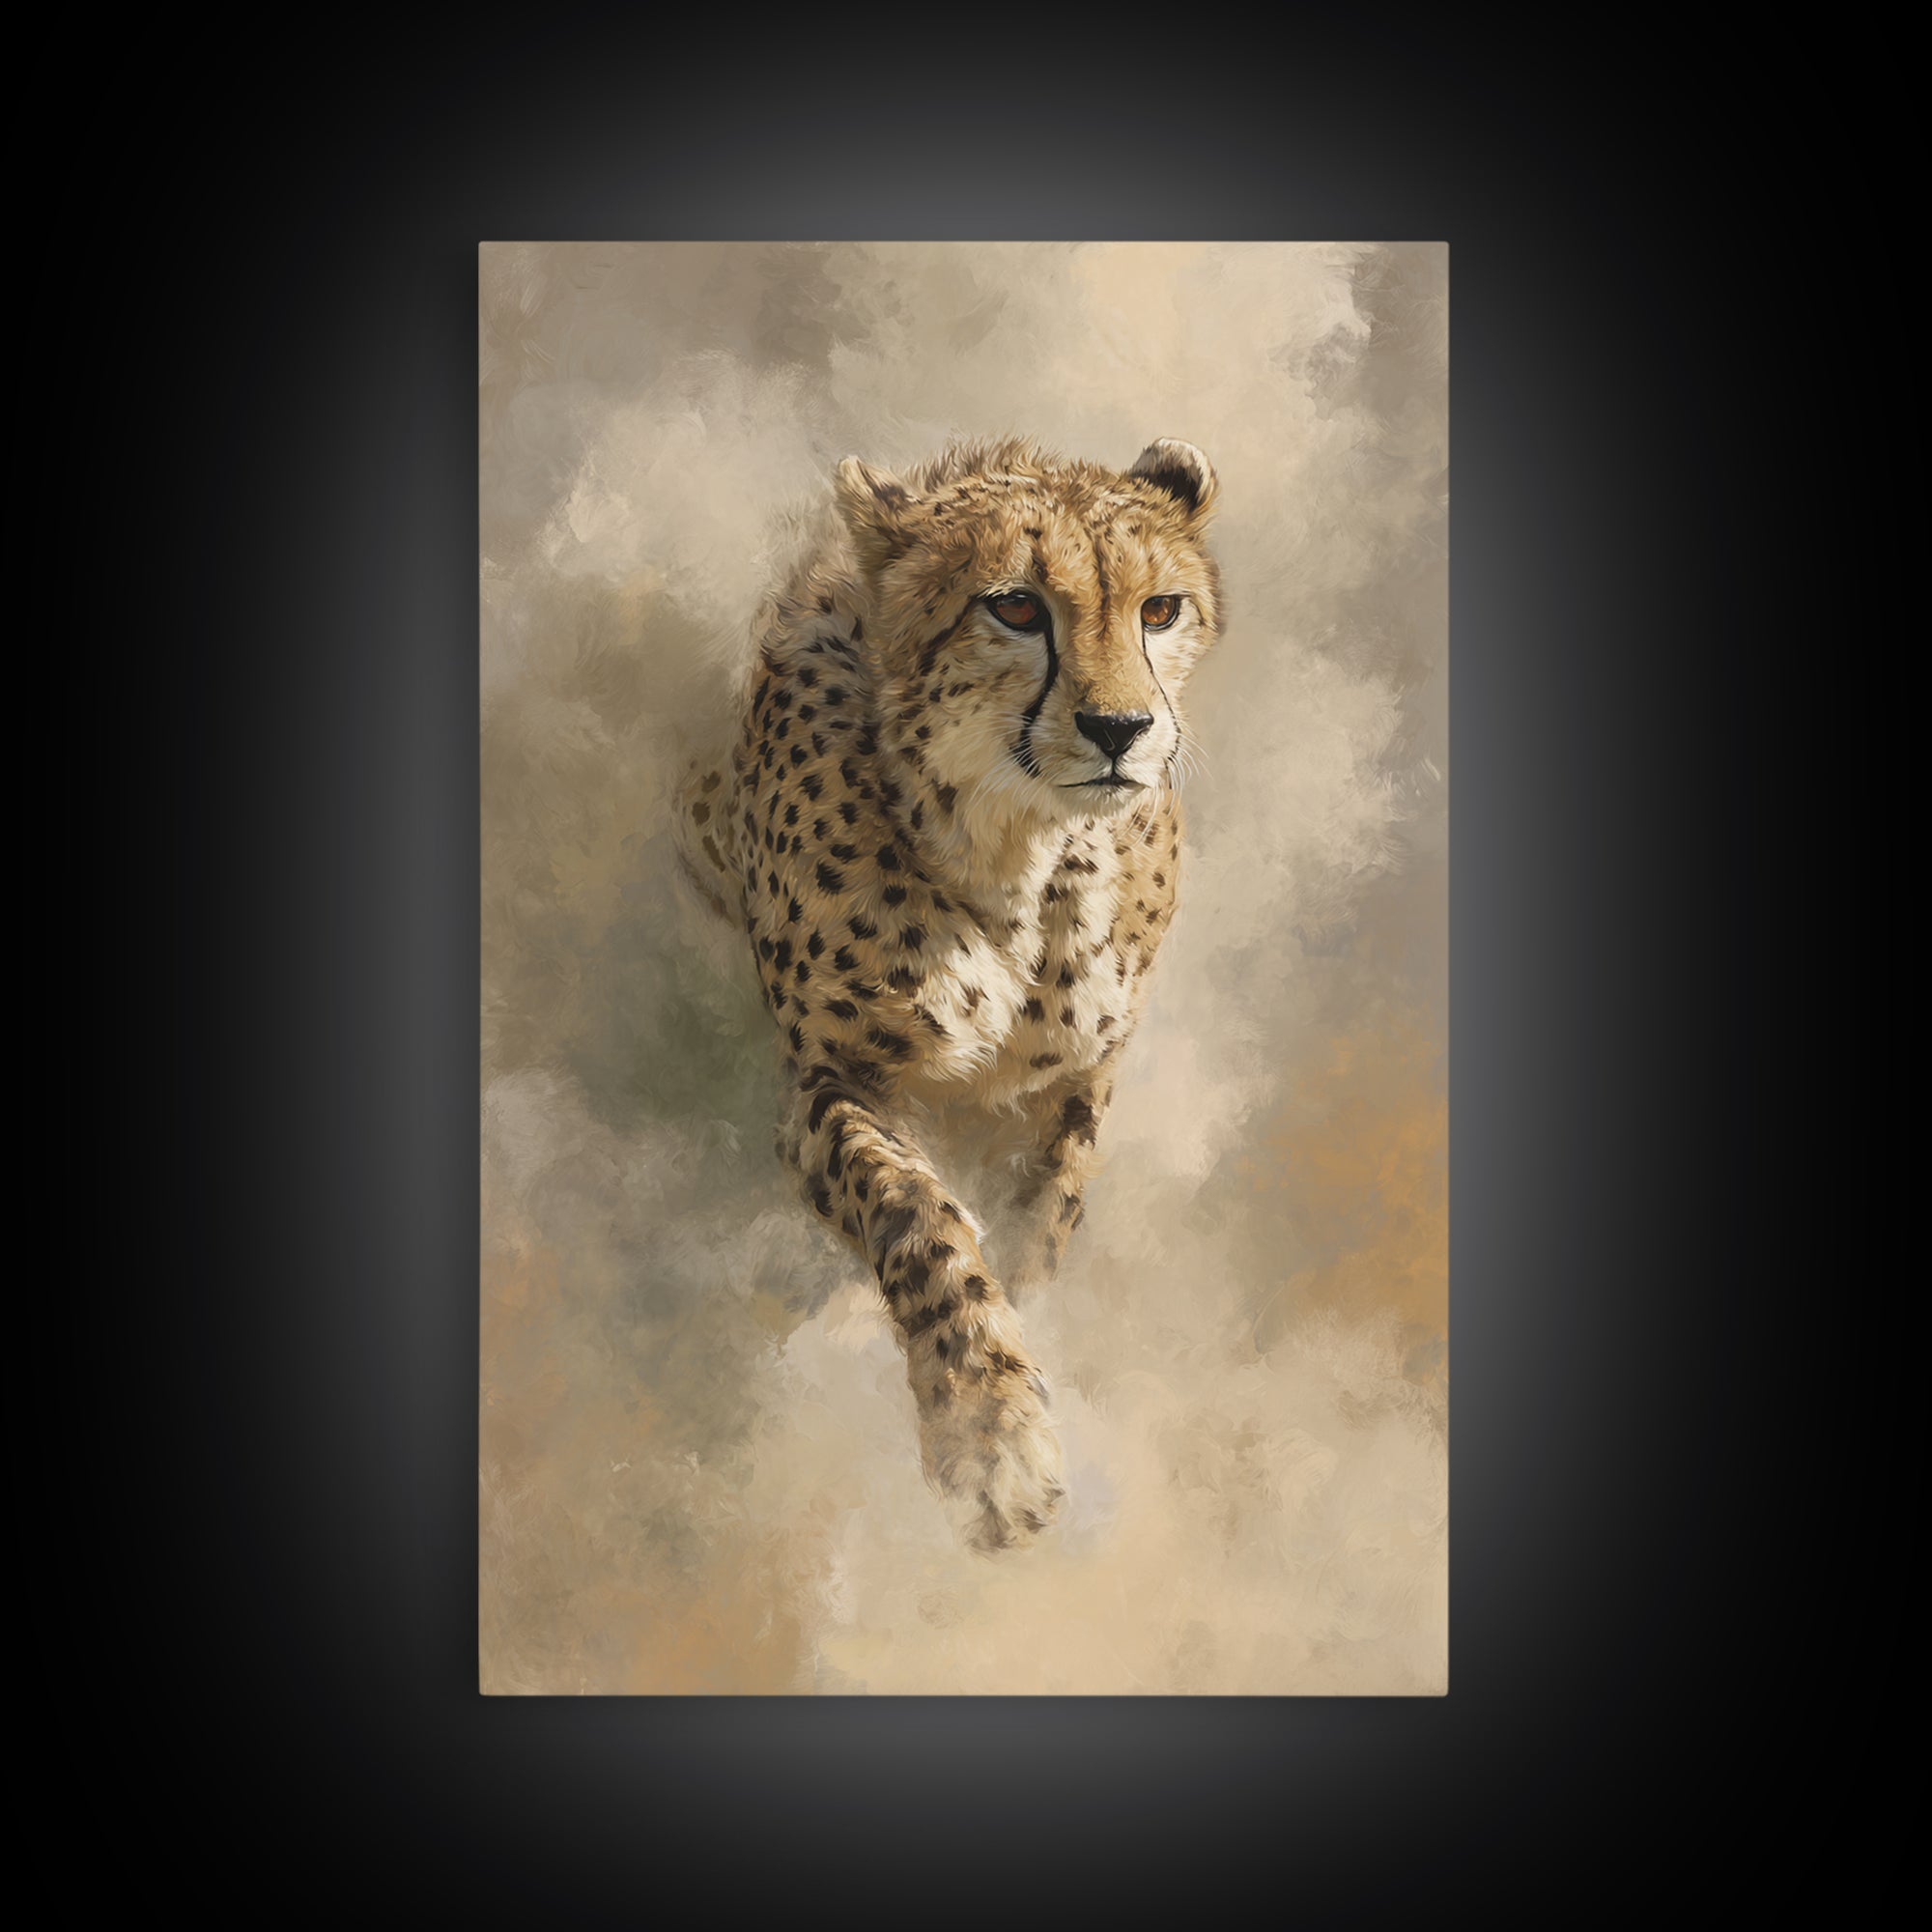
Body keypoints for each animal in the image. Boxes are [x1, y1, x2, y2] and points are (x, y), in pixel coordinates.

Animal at [675, 434, 1222, 1552]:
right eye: (1014, 607)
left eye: (1159, 609)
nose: (1121, 727)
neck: (1020, 858)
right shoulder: (832, 1079)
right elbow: (919, 1218)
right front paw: (992, 1436)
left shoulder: (1076, 1082)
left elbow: (1041, 1218)